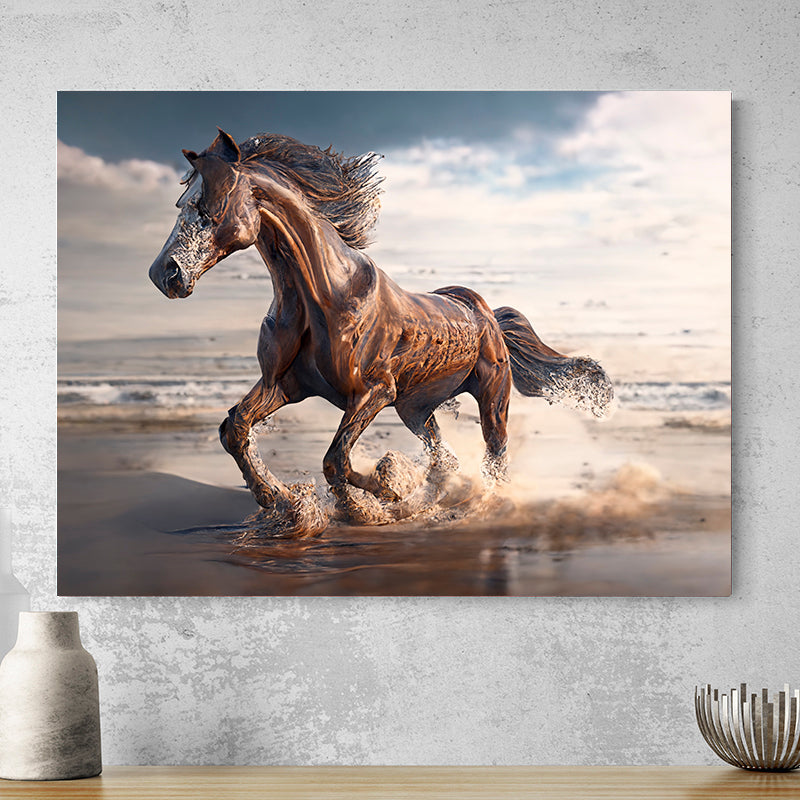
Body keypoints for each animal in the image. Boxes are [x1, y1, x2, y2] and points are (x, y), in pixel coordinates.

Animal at [148, 129, 613, 536]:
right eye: (181, 202)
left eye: (206, 206)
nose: (163, 274)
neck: (322, 296)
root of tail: (486, 314)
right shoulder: (283, 386)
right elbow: (236, 429)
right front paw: (279, 499)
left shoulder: (373, 392)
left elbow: (335, 459)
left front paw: (382, 492)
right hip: (416, 409)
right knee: (444, 460)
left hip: (491, 397)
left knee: (495, 457)